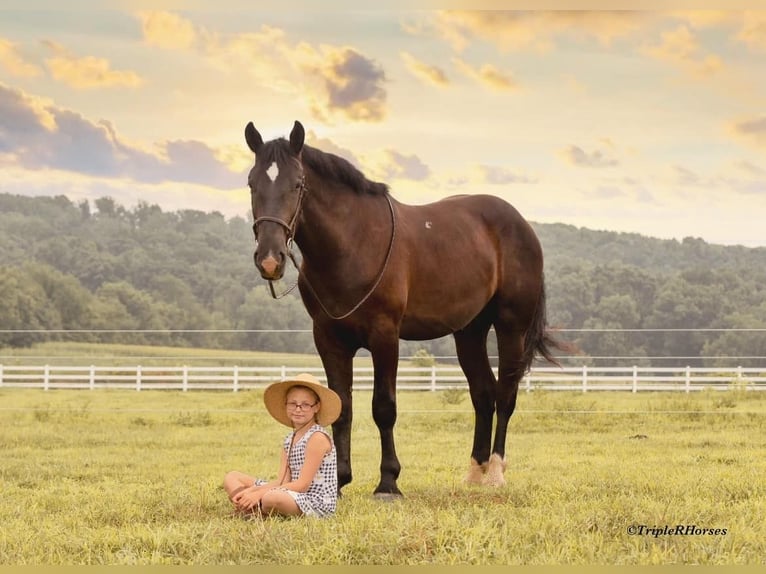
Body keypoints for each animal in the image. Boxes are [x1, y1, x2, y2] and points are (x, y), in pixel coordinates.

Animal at [244, 119, 564, 498]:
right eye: (252, 183)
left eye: (297, 184)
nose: (270, 259)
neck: (354, 243)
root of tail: (521, 225)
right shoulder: (329, 339)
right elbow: (341, 407)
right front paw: (338, 481)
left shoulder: (385, 335)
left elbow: (384, 408)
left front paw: (388, 481)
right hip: (469, 331)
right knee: (483, 394)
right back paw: (475, 472)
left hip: (511, 326)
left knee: (505, 393)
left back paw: (496, 472)